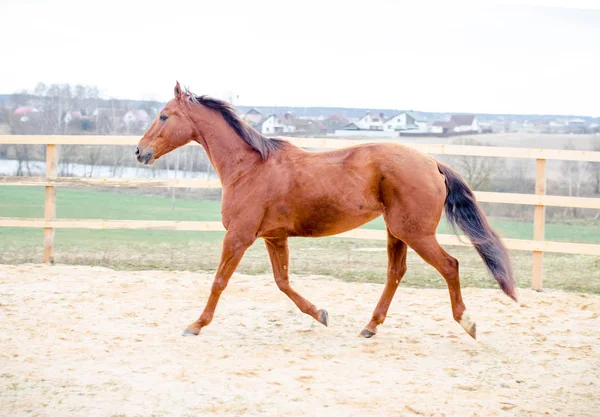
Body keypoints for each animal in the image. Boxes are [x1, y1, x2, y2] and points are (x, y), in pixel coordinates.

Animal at [135, 83, 516, 340]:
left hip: (416, 233)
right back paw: (369, 327)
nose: (140, 151)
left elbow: (219, 281)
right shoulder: (273, 237)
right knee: (396, 273)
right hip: (397, 232)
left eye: (164, 115)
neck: (249, 167)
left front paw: (195, 325)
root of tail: (432, 162)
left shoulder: (239, 236)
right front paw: (320, 314)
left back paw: (467, 323)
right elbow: (283, 282)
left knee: (450, 266)